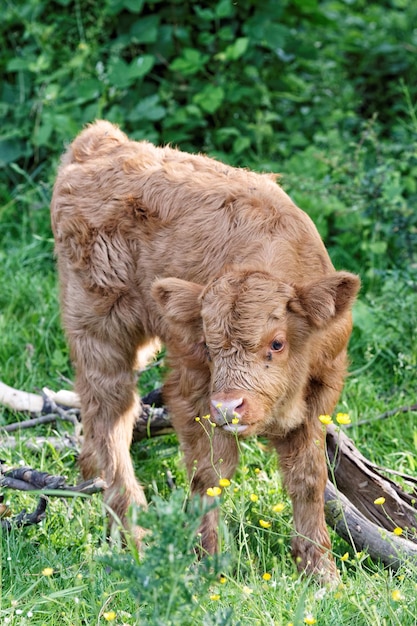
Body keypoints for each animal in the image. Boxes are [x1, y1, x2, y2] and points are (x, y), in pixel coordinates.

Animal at [51, 120, 358, 580]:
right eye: (210, 348)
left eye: (277, 342)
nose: (230, 407)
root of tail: (100, 143)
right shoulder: (191, 385)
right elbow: (211, 473)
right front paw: (209, 562)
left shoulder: (323, 388)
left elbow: (308, 478)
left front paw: (320, 570)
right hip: (99, 332)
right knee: (111, 421)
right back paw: (136, 537)